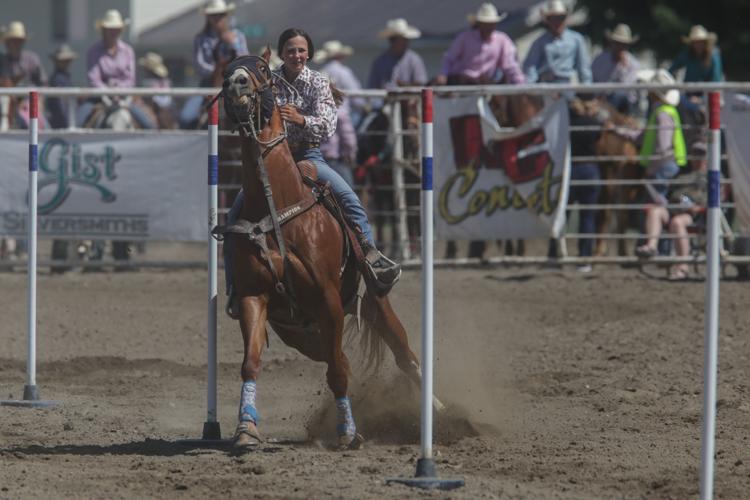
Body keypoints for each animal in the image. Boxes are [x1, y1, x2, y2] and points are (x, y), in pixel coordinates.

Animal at [220, 52, 438, 452]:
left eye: (261, 68)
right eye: (227, 70)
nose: (236, 84)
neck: (278, 204)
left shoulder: (328, 299)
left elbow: (337, 372)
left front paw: (347, 432)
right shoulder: (253, 297)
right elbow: (251, 362)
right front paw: (246, 428)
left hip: (373, 303)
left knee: (403, 355)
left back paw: (434, 408)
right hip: (301, 333)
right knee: (339, 358)